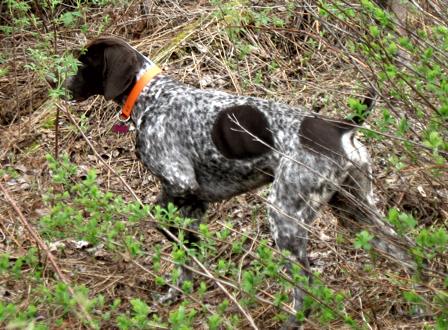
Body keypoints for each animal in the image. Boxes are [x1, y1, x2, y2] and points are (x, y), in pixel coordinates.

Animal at [61, 36, 414, 328]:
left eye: (83, 64)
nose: (62, 86)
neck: (152, 97)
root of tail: (340, 127)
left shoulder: (181, 185)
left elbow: (161, 219)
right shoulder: (194, 204)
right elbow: (185, 255)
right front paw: (177, 293)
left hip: (284, 217)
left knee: (306, 283)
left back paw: (294, 321)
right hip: (357, 213)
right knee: (406, 251)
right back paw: (418, 302)